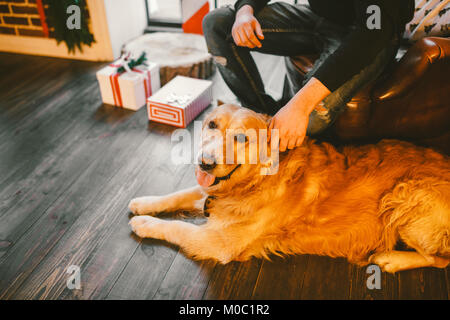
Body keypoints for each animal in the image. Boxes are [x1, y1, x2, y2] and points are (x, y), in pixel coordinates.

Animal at [127, 103, 450, 272]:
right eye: (212, 125)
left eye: (242, 139)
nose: (204, 163)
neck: (255, 181)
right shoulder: (211, 193)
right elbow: (178, 194)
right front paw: (144, 203)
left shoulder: (218, 242)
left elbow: (176, 227)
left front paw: (144, 223)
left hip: (405, 196)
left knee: (439, 260)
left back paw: (390, 259)